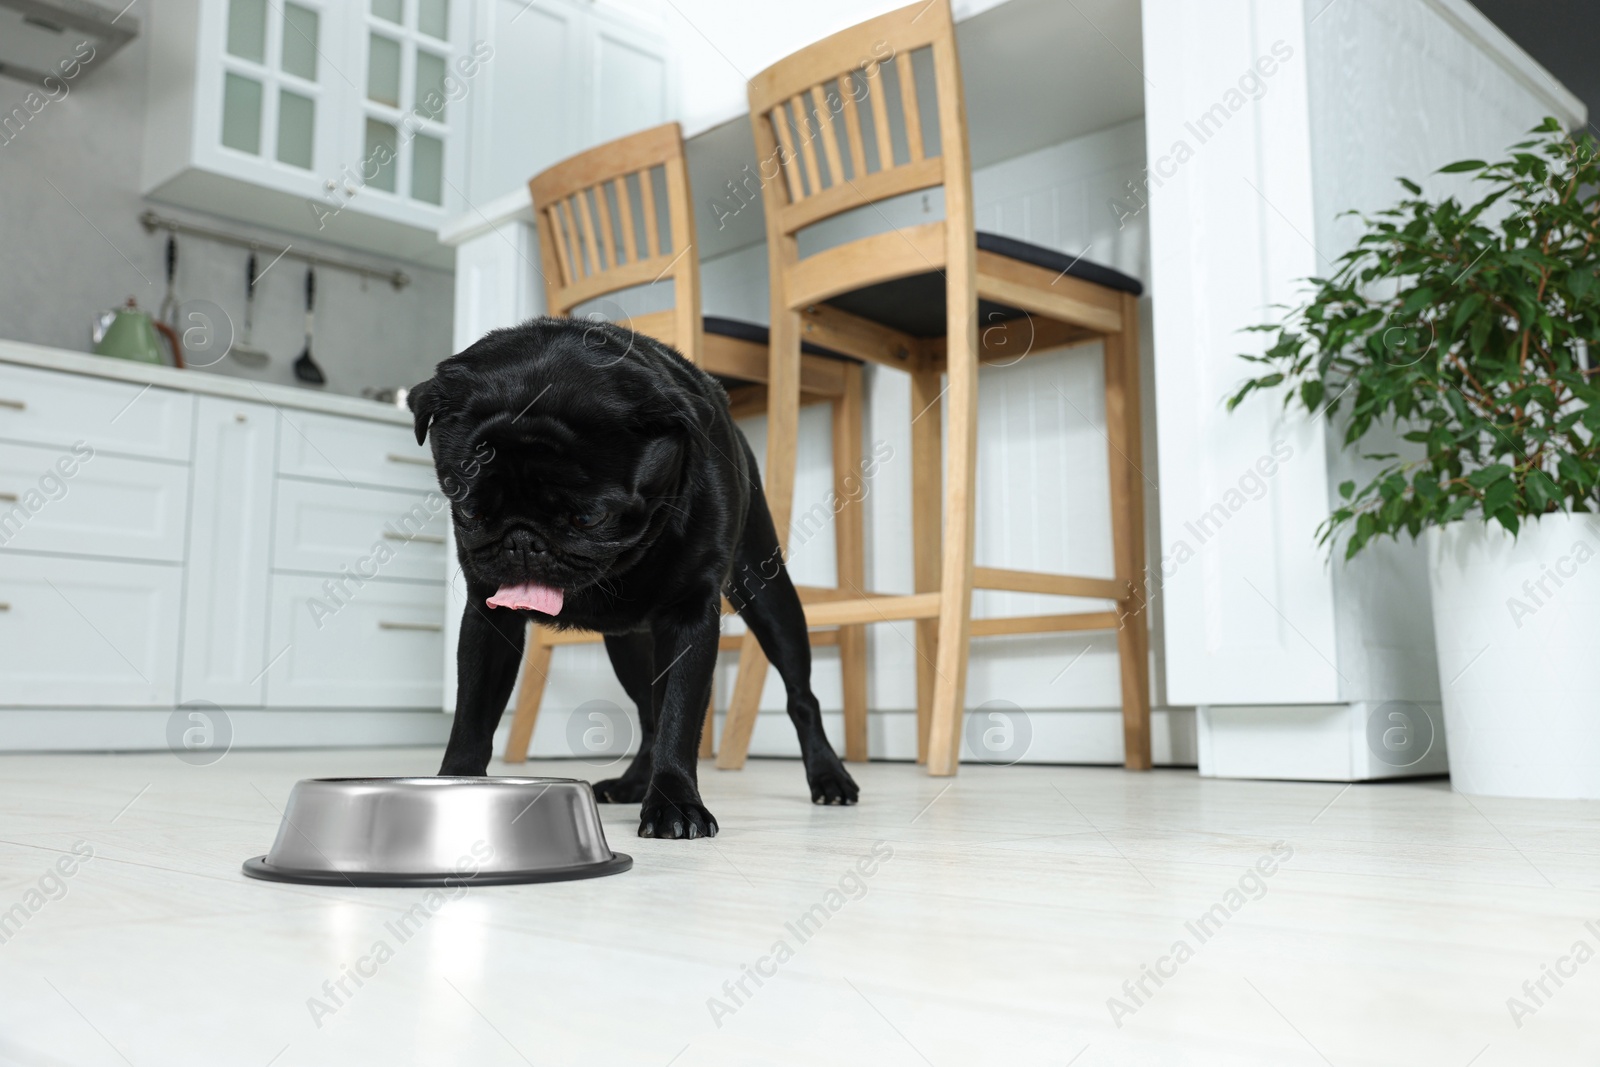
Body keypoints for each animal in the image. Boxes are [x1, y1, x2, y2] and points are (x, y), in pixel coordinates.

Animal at [412, 321, 864, 838]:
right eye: (469, 511)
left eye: (590, 518)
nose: (522, 541)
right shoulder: (489, 618)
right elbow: (472, 713)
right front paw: (455, 784)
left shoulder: (690, 617)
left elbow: (680, 716)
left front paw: (674, 802)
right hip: (628, 645)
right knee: (648, 715)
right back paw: (632, 783)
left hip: (769, 597)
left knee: (800, 697)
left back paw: (829, 776)